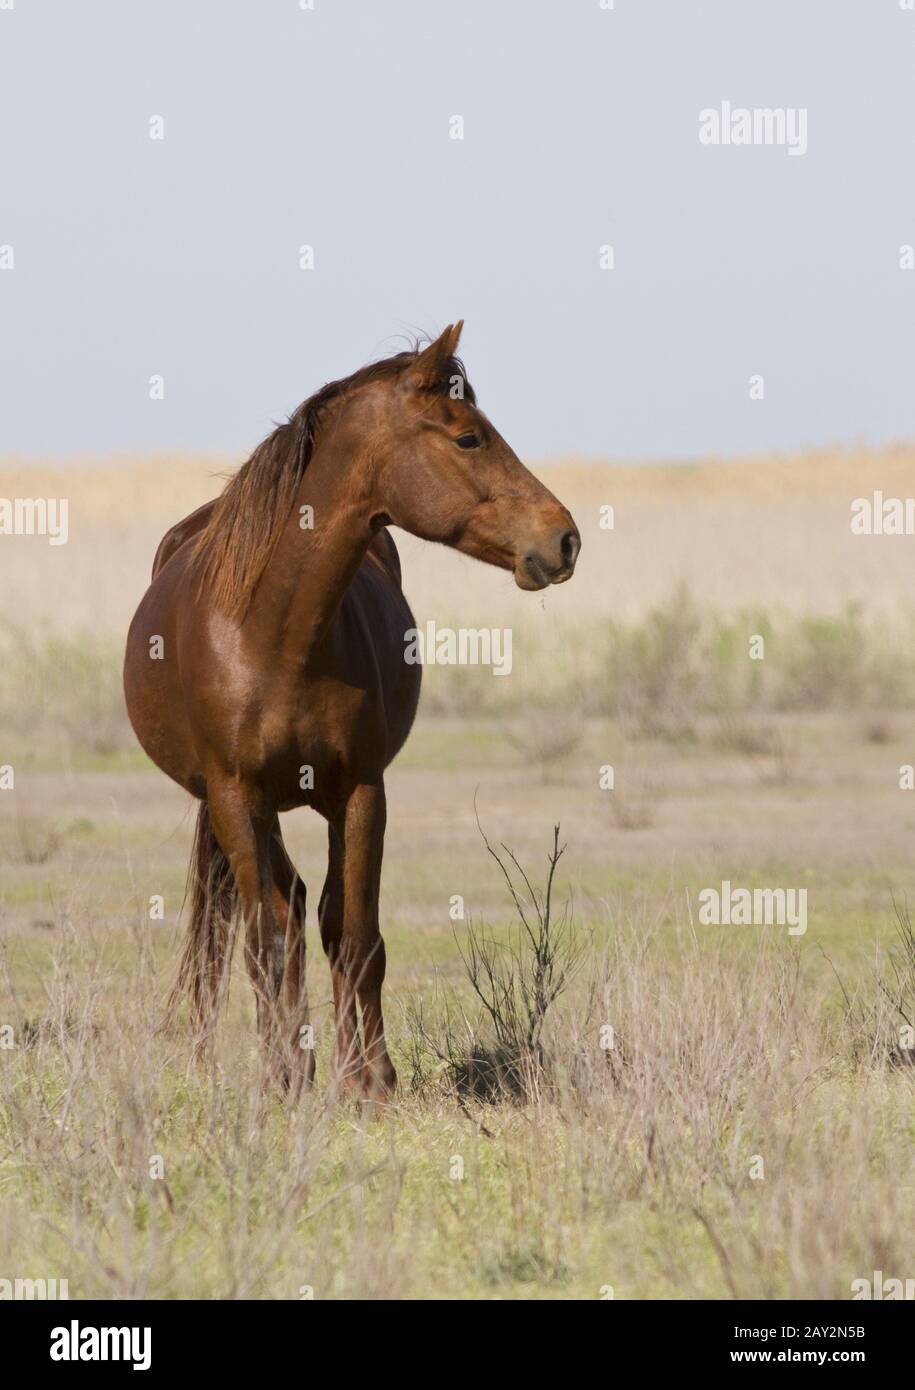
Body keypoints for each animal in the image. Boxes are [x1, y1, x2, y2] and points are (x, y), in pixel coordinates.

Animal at [123, 322, 580, 1099]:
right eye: (468, 437)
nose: (564, 537)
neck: (273, 633)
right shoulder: (236, 796)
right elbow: (267, 938)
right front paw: (282, 1078)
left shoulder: (362, 791)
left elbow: (354, 932)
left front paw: (368, 1081)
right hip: (238, 808)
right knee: (254, 921)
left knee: (305, 909)